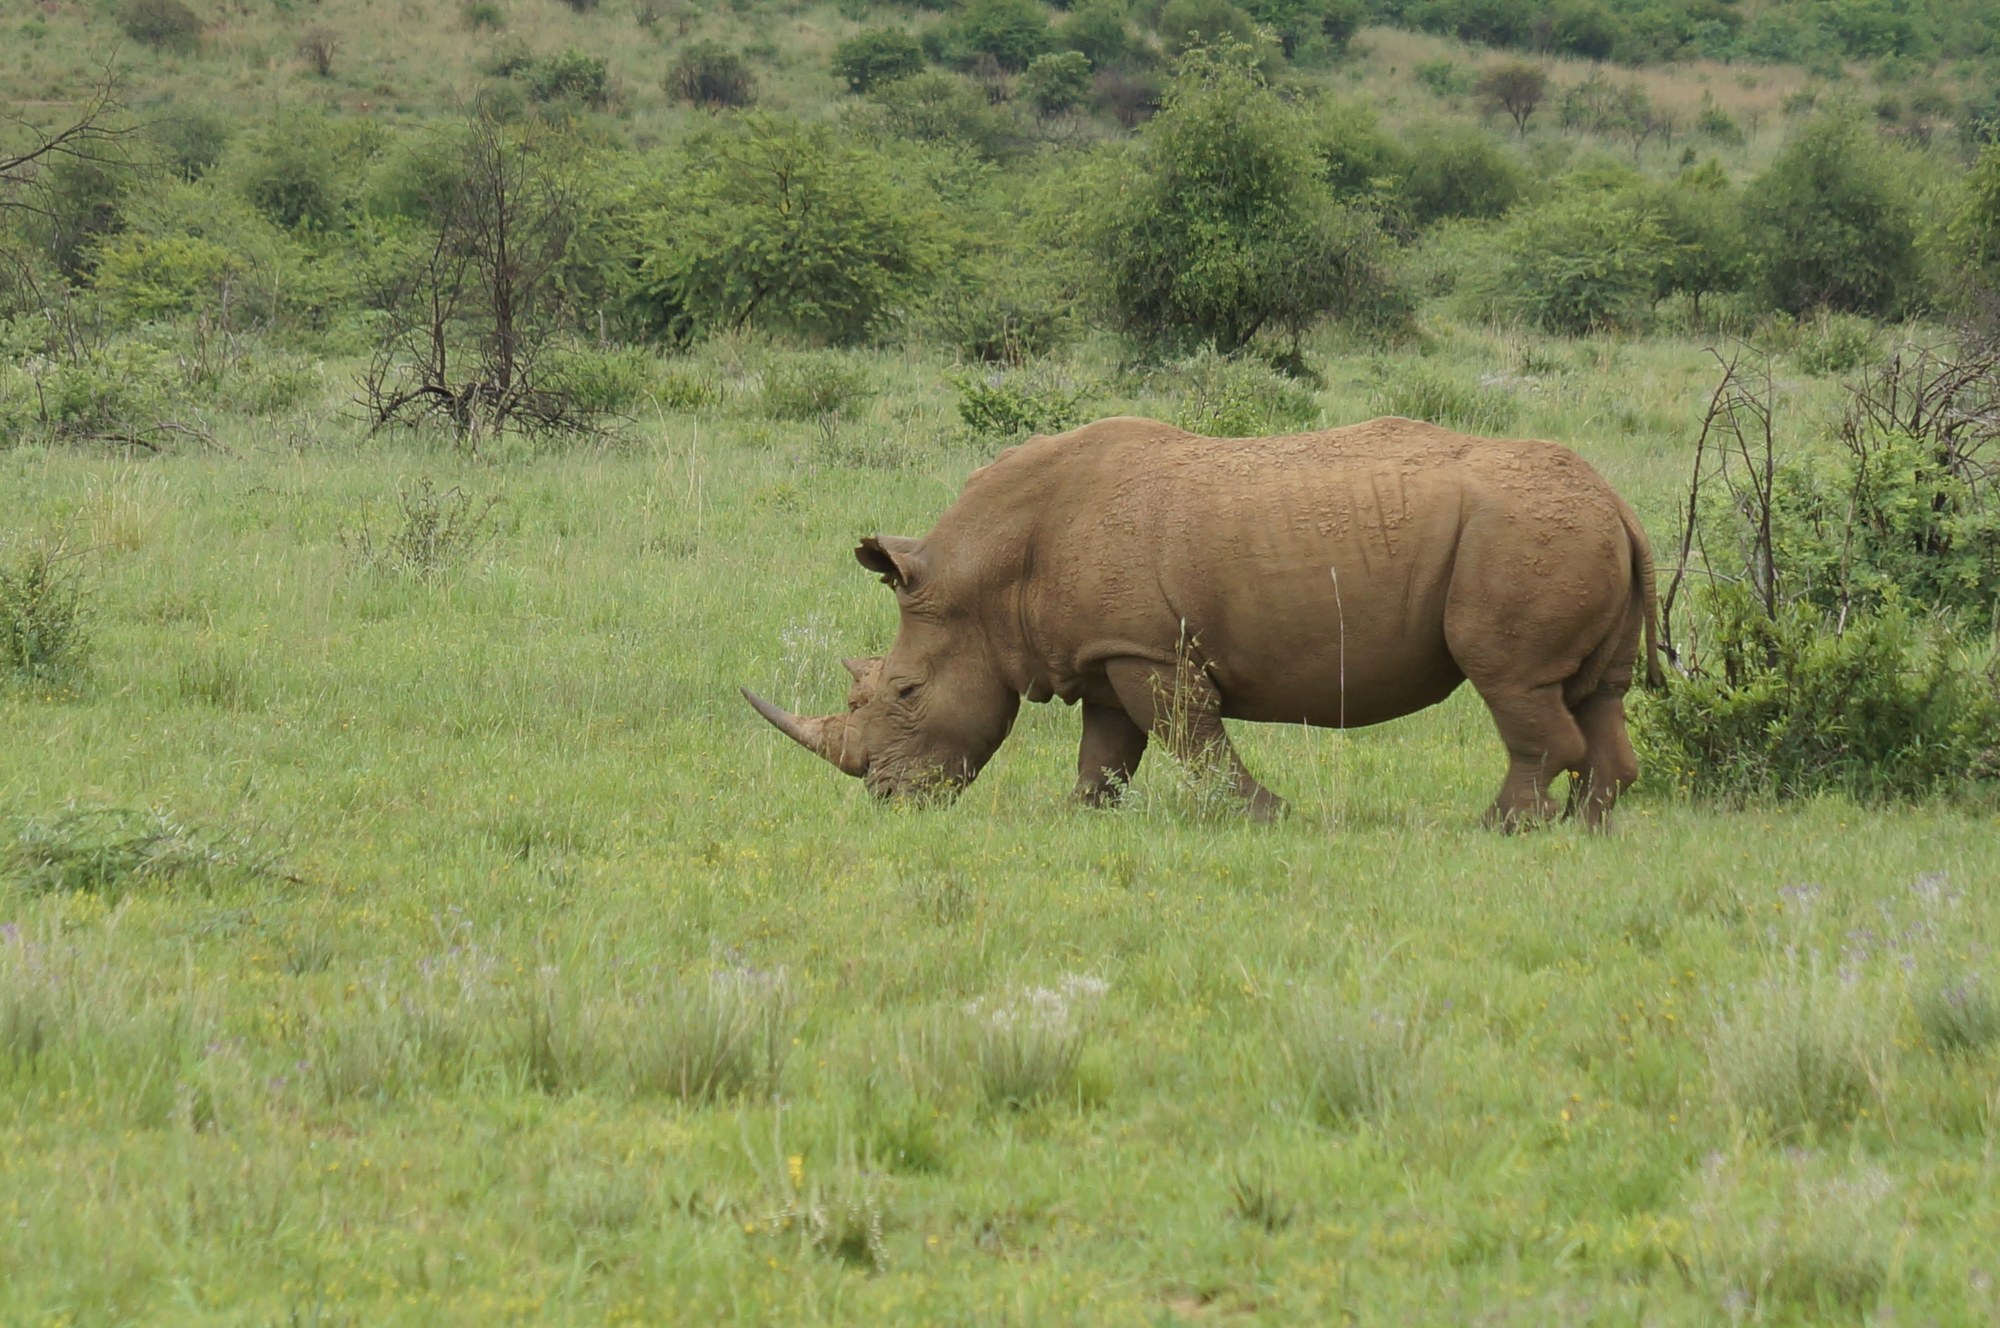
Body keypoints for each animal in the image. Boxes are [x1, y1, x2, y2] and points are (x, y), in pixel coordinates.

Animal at [744, 416, 1662, 828]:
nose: (887, 797)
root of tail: (1618, 502)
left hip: (1521, 536)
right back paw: (1584, 827)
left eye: (902, 691)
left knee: (1512, 681)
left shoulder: (1147, 648)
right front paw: (1082, 818)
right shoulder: (1107, 650)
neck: (986, 573)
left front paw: (1269, 817)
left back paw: (1498, 828)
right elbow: (1108, 750)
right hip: (1566, 530)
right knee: (1595, 695)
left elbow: (1192, 736)